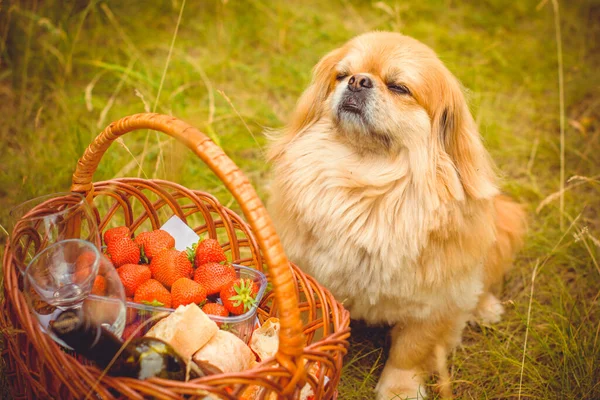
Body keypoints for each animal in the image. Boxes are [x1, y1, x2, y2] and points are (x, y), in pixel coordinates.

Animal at [268, 32, 524, 400]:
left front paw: (399, 389)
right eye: (342, 76)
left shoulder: (434, 304)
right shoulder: (307, 279)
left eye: (399, 87)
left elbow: (411, 352)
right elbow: (313, 328)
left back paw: (485, 307)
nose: (358, 81)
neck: (364, 178)